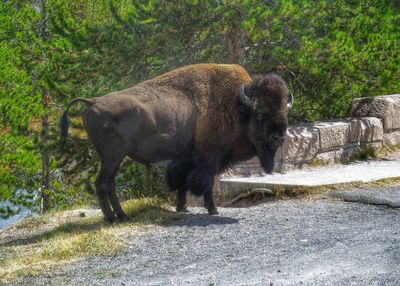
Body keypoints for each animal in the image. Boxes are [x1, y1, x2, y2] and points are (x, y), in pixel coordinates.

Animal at [60, 63, 290, 222]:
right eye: (260, 114)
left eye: (284, 111)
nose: (279, 138)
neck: (235, 105)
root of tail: (93, 102)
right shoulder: (209, 158)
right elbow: (205, 183)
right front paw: (213, 210)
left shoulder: (187, 157)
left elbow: (181, 181)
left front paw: (182, 208)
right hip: (112, 157)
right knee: (103, 184)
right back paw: (113, 218)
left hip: (113, 158)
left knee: (109, 184)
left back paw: (121, 215)